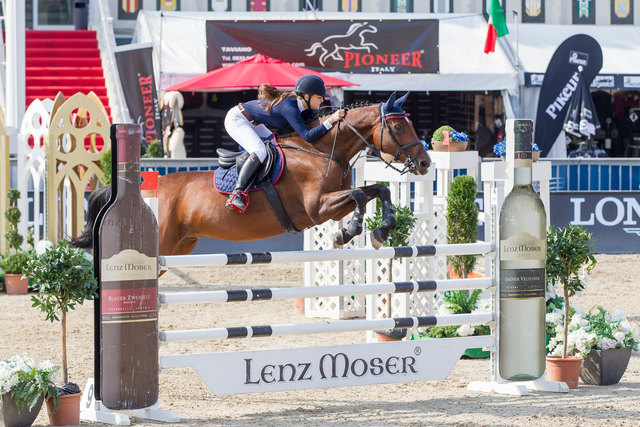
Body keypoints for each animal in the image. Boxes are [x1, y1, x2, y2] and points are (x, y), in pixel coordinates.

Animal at [69, 91, 430, 256]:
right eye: (399, 125)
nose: (425, 163)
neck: (322, 151)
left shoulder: (330, 208)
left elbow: (377, 191)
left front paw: (379, 230)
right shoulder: (315, 208)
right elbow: (358, 194)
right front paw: (350, 231)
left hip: (180, 246)